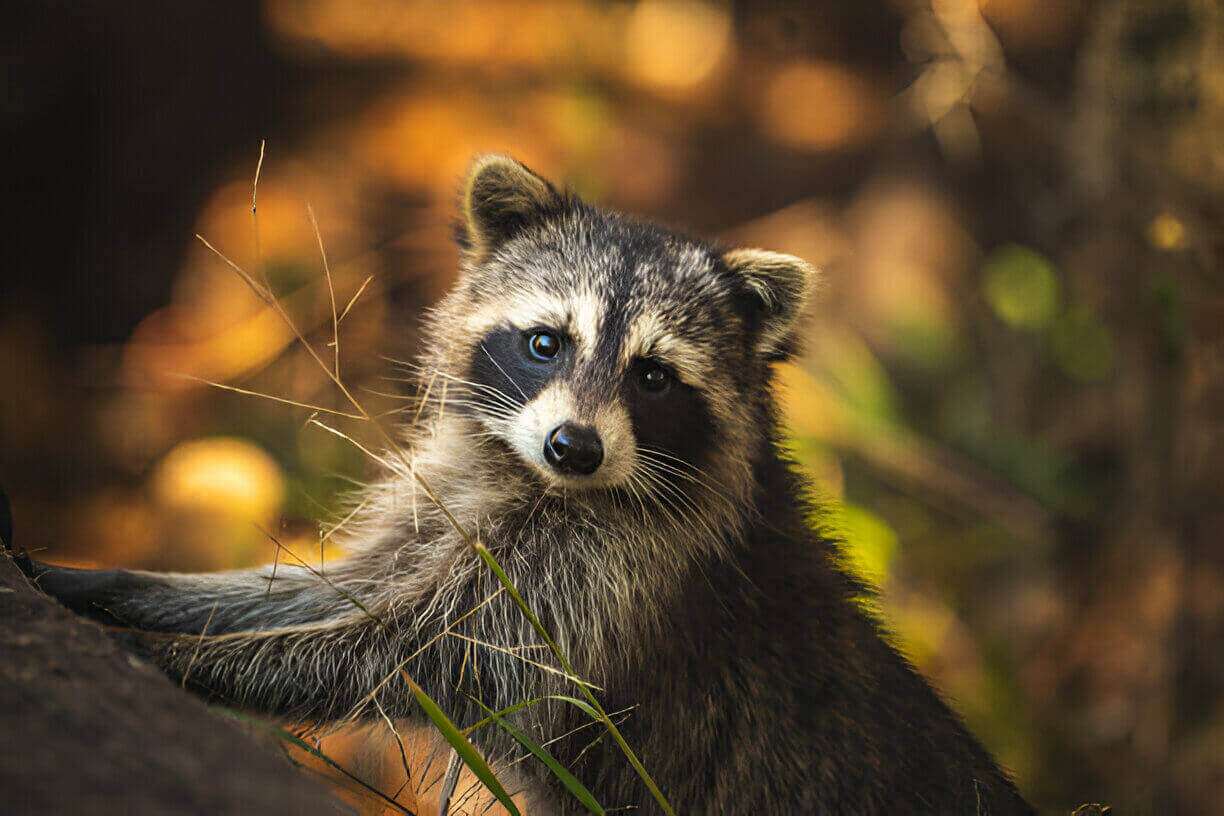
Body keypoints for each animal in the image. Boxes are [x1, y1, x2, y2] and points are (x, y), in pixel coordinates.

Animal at [11, 156, 1033, 812]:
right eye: (546, 341)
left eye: (653, 377)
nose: (575, 446)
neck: (539, 483)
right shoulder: (449, 506)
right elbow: (329, 592)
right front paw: (125, 590)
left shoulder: (610, 576)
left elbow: (406, 656)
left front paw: (184, 659)